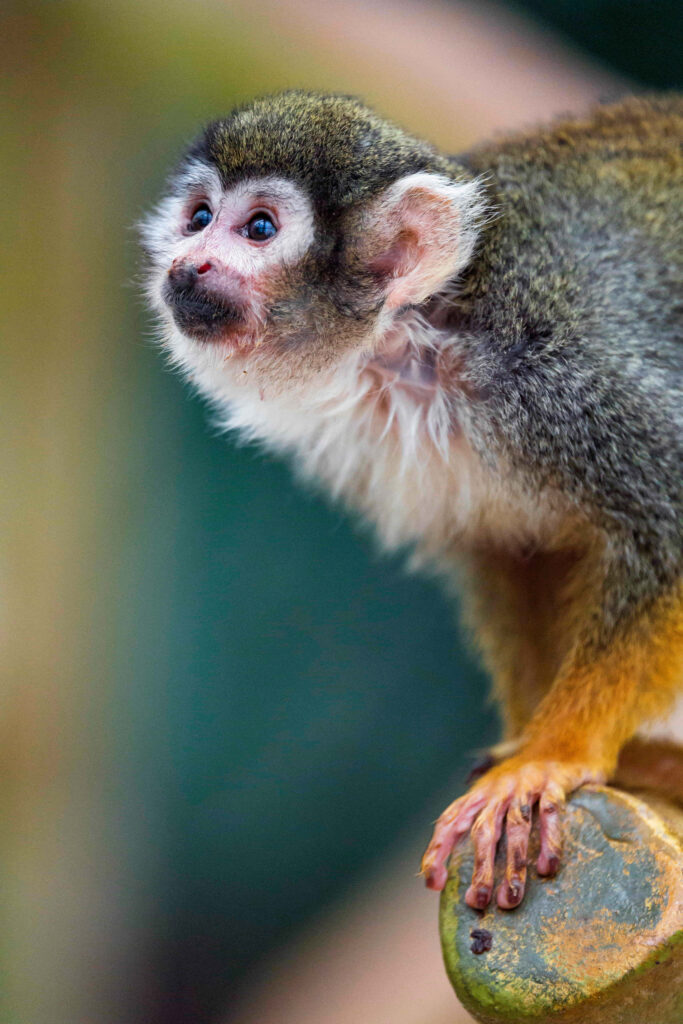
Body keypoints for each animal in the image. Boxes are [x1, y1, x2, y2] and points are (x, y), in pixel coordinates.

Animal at [141, 91, 682, 911]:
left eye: (259, 228)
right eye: (199, 216)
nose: (188, 261)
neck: (414, 338)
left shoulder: (558, 366)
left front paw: (551, 754)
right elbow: (511, 552)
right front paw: (529, 743)